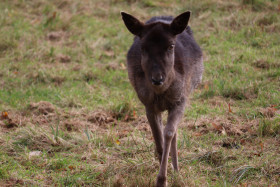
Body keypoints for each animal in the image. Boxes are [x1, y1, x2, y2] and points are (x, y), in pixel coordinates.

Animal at [120, 11, 203, 186]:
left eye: (171, 46)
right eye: (143, 47)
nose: (157, 79)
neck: (161, 92)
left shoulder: (181, 100)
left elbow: (169, 133)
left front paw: (164, 178)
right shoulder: (148, 105)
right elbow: (158, 140)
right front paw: (162, 179)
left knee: (174, 132)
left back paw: (177, 172)